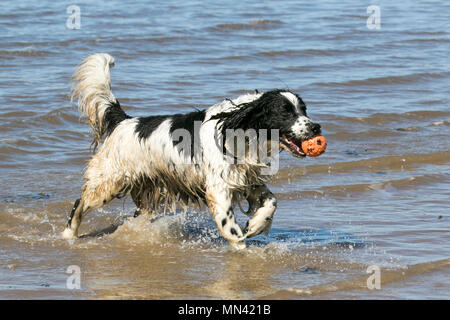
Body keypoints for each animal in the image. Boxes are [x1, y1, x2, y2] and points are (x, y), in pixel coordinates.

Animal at [64, 52, 324, 249]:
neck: (237, 128)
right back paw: (68, 236)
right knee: (79, 204)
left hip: (147, 191)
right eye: (285, 112)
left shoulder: (245, 179)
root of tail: (124, 121)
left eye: (304, 109)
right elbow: (230, 227)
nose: (316, 127)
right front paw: (243, 246)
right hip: (110, 181)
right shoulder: (218, 188)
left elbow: (271, 201)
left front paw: (256, 225)